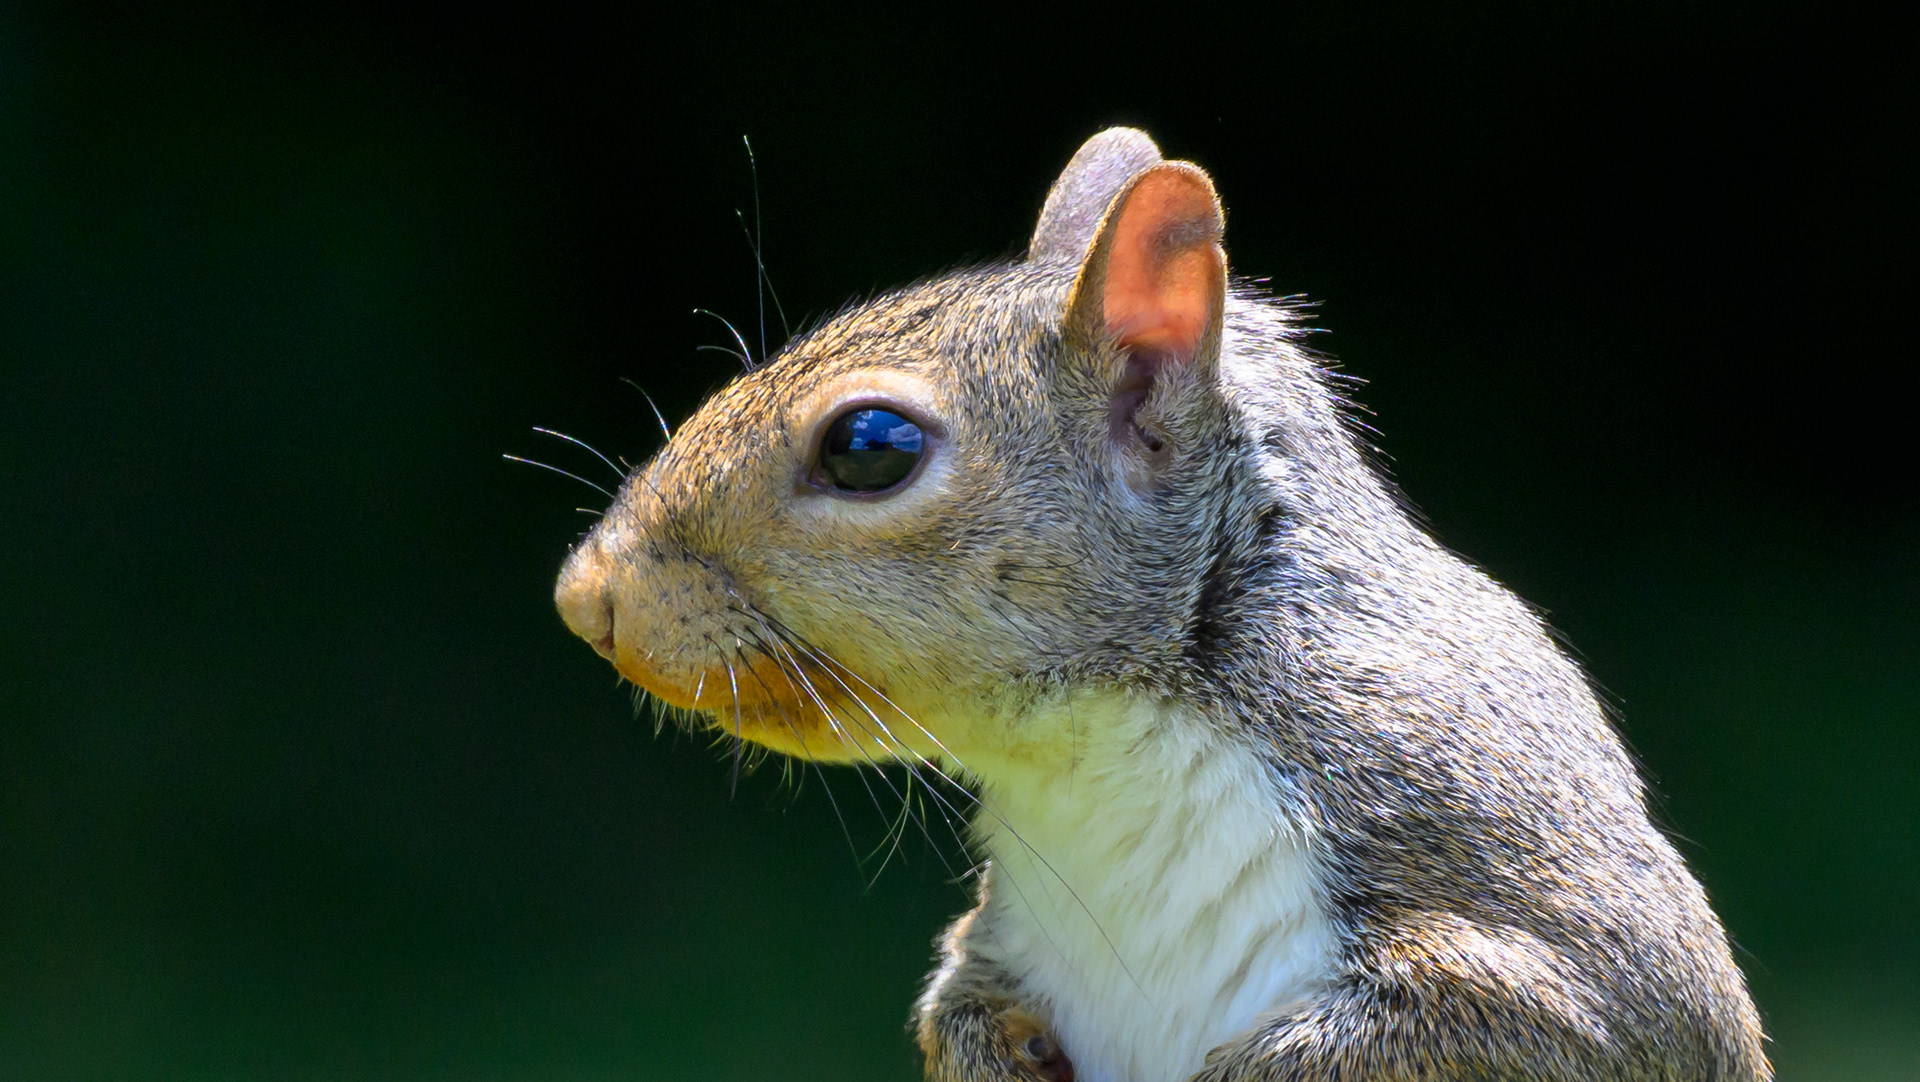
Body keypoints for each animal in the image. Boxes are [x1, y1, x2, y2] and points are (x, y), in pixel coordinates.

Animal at [553, 128, 1769, 1081]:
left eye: (869, 446)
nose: (586, 597)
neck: (1098, 746)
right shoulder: (1007, 932)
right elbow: (958, 997)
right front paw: (985, 1048)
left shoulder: (1491, 837)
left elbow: (1588, 1012)